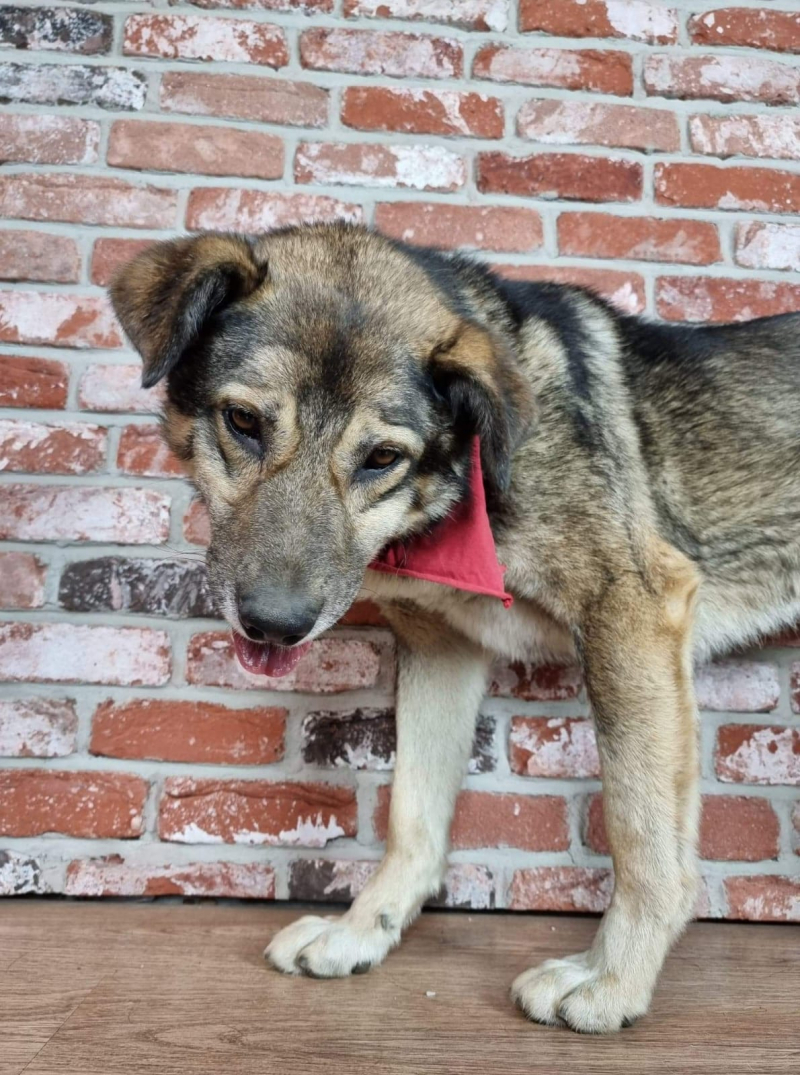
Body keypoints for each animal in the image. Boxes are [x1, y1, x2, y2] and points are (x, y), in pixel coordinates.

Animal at [110, 223, 800, 1034]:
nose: (275, 627)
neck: (466, 481)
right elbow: (414, 812)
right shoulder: (444, 648)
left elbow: (641, 829)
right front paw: (362, 933)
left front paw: (614, 981)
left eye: (382, 457)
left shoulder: (634, 612)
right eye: (243, 422)